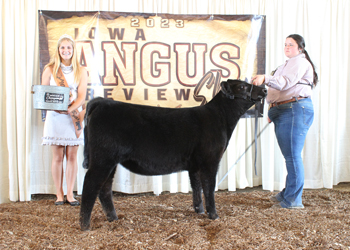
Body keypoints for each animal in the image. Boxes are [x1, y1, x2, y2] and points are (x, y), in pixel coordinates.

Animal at [80, 79, 266, 230]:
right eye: (242, 86)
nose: (264, 90)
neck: (220, 118)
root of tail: (101, 102)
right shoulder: (210, 161)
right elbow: (209, 188)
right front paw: (213, 215)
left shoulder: (195, 165)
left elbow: (196, 187)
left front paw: (199, 211)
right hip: (102, 158)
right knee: (90, 185)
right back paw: (85, 225)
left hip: (110, 161)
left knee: (104, 189)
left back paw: (113, 218)